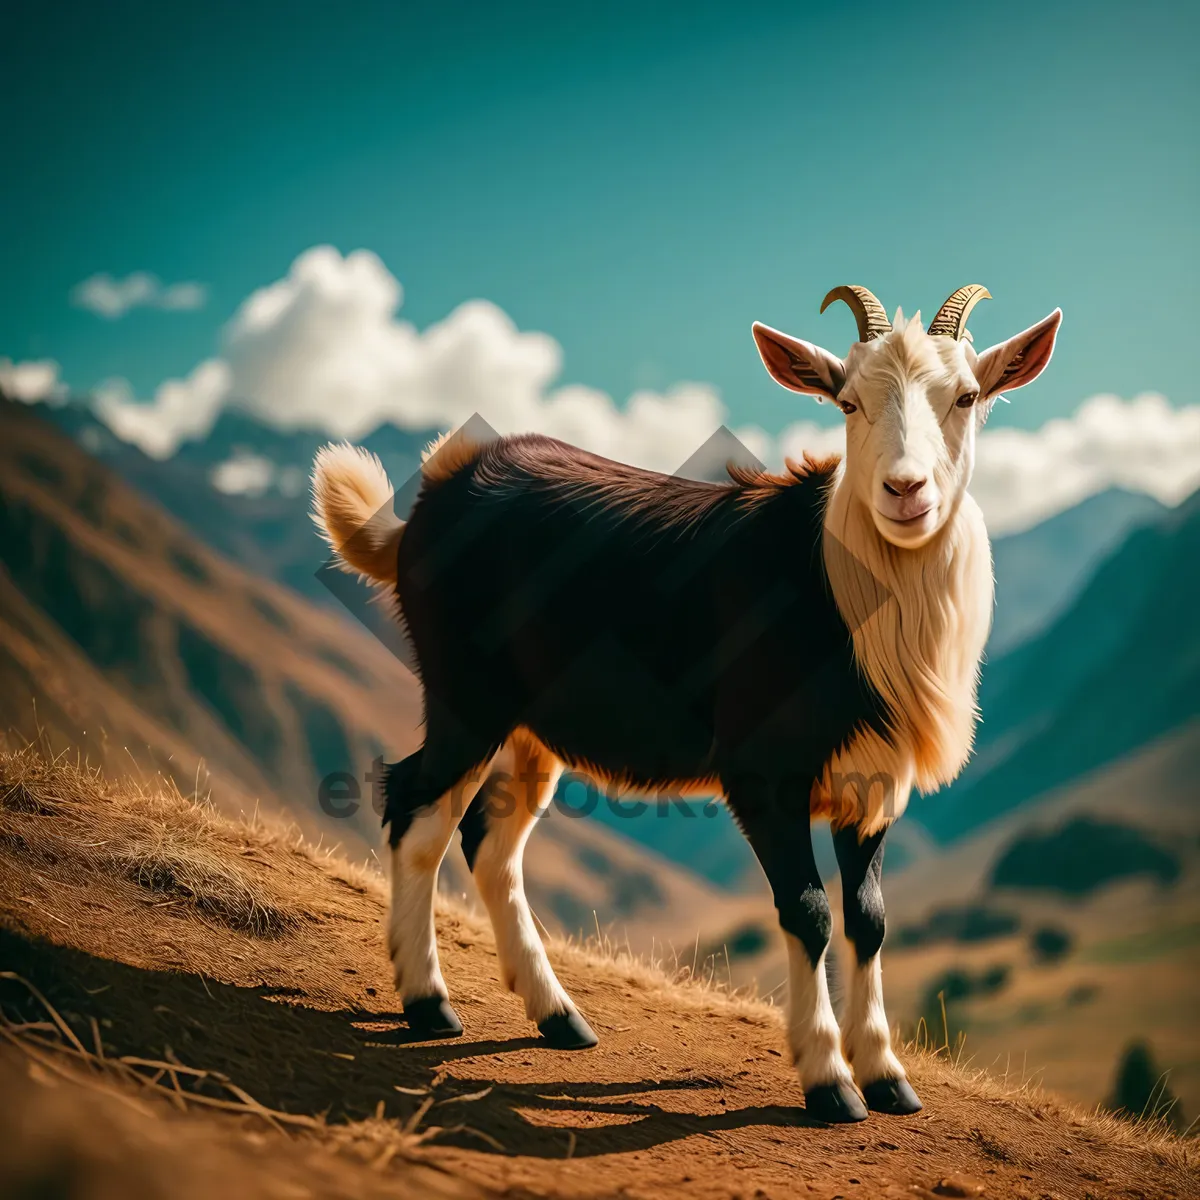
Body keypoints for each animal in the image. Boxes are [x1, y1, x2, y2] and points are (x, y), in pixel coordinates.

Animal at [309, 283, 1060, 1123]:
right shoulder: (763, 769)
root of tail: (430, 499)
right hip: (466, 694)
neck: (840, 591)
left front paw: (888, 1077)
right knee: (415, 807)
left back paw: (557, 1016)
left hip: (533, 730)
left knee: (489, 841)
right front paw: (829, 1081)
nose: (905, 491)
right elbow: (809, 909)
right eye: (848, 402)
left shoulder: (875, 783)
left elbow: (868, 917)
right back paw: (428, 1003)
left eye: (967, 397)